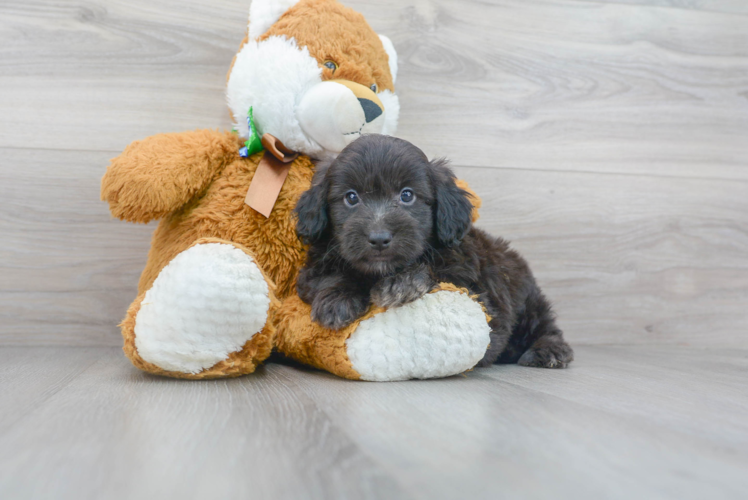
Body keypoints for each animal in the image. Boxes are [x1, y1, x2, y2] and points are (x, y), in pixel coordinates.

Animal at [294, 134, 572, 368]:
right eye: (351, 198)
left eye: (407, 195)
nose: (379, 238)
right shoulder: (314, 268)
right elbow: (329, 276)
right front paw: (337, 300)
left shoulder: (476, 291)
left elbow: (437, 273)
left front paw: (402, 283)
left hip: (528, 302)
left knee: (544, 325)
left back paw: (550, 350)